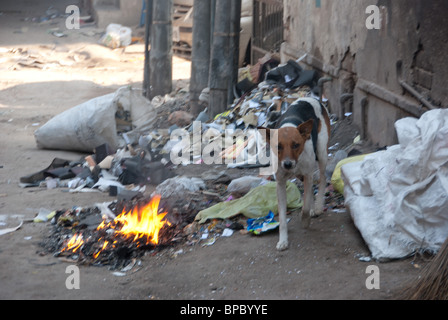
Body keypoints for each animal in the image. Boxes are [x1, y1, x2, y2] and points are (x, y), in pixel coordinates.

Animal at [260, 97, 328, 250]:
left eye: (296, 145)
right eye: (278, 146)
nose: (287, 164)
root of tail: (313, 98)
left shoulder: (308, 174)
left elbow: (305, 207)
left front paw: (305, 220)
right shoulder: (280, 183)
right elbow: (282, 218)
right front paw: (283, 241)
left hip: (321, 153)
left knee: (322, 179)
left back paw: (318, 206)